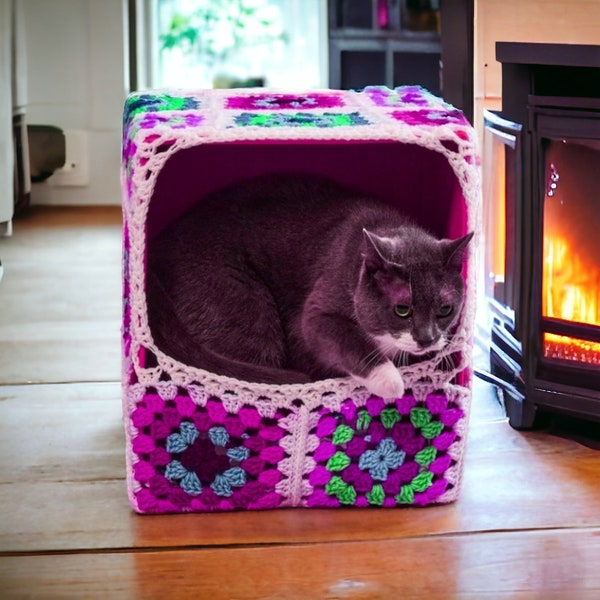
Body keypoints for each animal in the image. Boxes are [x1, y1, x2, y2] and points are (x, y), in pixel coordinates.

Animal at [146, 173, 474, 398]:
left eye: (445, 309)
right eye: (402, 309)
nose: (427, 339)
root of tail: (155, 253)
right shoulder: (316, 311)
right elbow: (342, 337)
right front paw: (391, 382)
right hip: (238, 303)